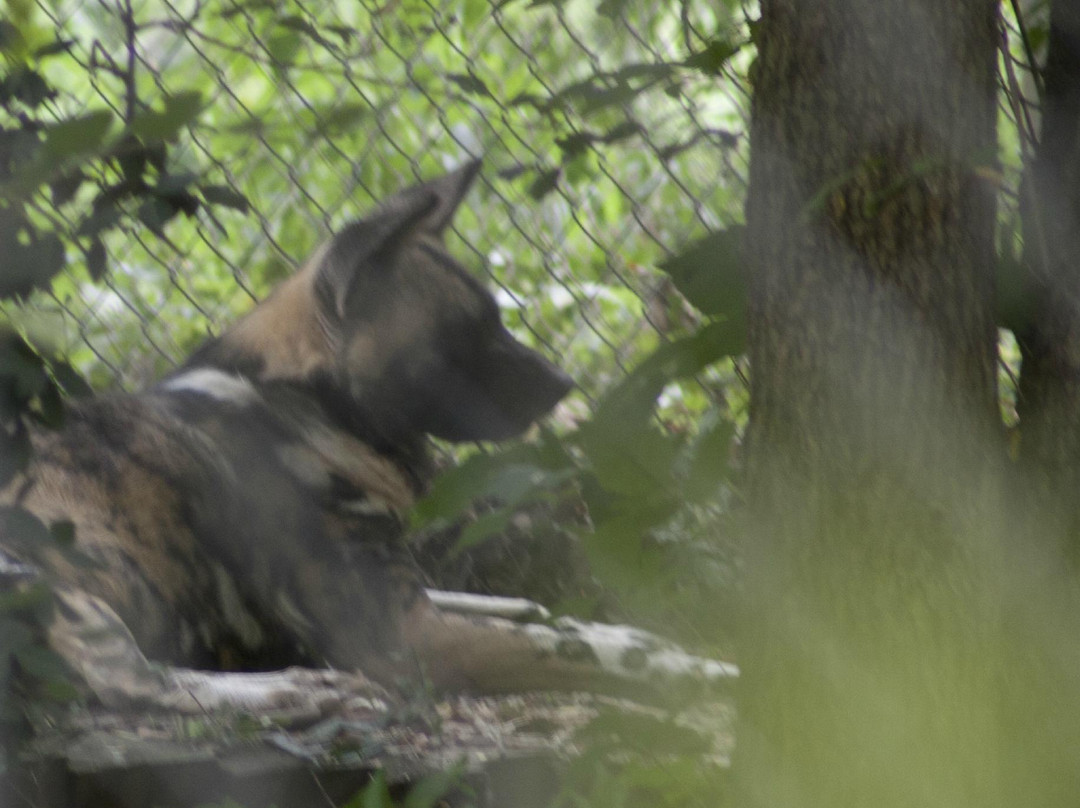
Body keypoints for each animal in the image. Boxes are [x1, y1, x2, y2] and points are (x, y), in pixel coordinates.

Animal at [0, 162, 735, 717]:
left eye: (497, 317)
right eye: (466, 330)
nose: (564, 384)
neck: (311, 412)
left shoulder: (412, 598)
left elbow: (574, 625)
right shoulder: (404, 636)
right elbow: (583, 650)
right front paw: (705, 678)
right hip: (46, 579)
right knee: (120, 683)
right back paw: (292, 690)